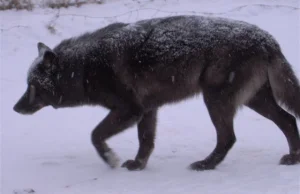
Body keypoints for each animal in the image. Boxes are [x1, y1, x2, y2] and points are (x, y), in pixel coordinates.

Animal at [13, 15, 300, 171]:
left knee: (228, 138)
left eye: (31, 86)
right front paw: (138, 166)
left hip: (216, 100)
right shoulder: (147, 110)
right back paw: (294, 158)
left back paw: (205, 165)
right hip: (254, 100)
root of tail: (267, 39)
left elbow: (95, 135)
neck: (83, 68)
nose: (15, 108)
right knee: (288, 119)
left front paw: (110, 159)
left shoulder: (130, 110)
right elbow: (146, 142)